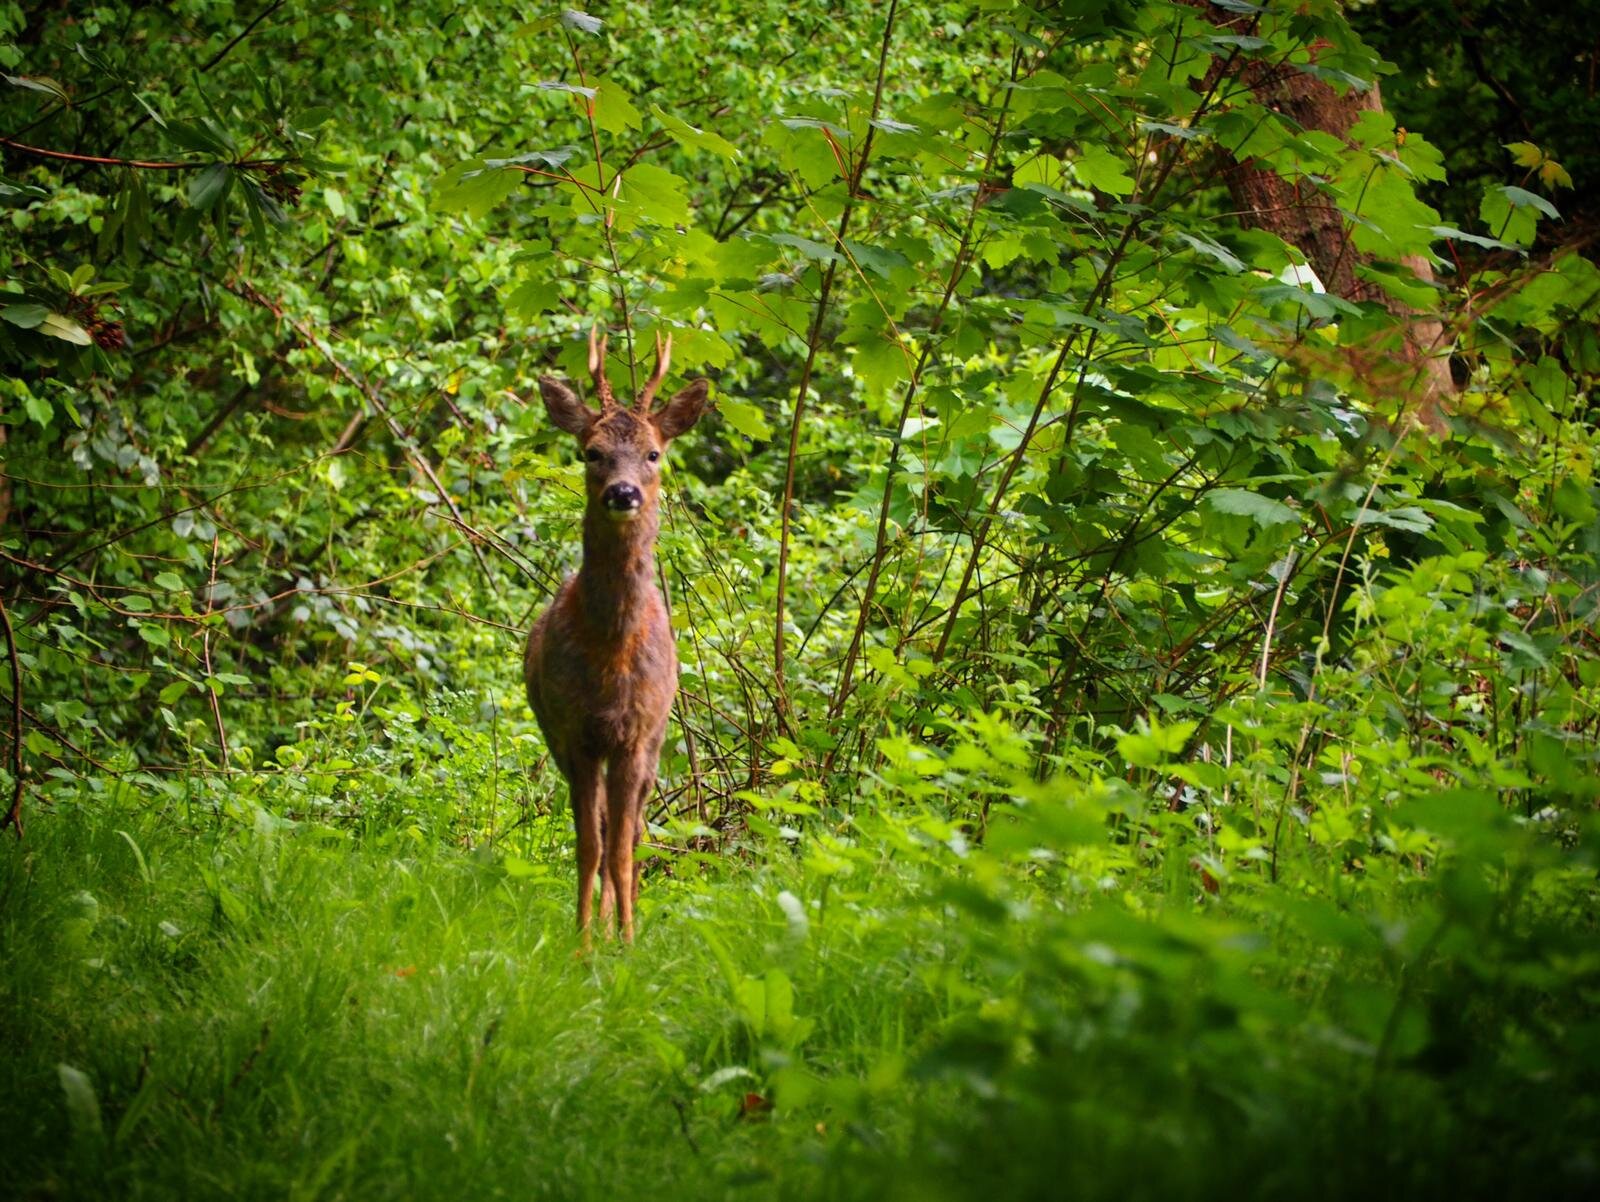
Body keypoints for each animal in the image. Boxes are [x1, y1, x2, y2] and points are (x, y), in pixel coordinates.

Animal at [524, 326, 707, 941]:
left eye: (654, 453)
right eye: (591, 452)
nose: (623, 493)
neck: (609, 655)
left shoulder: (634, 735)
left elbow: (624, 849)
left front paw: (626, 941)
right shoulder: (574, 732)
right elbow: (590, 845)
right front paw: (582, 941)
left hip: (656, 743)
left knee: (635, 831)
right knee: (605, 830)